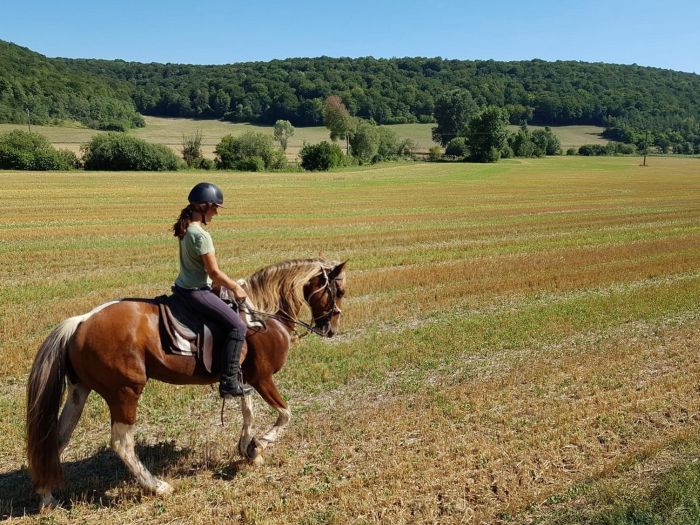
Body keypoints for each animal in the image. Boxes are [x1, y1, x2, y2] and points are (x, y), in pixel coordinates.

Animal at [26, 256, 348, 508]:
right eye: (340, 291)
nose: (331, 328)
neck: (263, 317)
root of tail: (81, 321)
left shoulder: (242, 378)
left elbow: (248, 412)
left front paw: (247, 448)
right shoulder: (262, 378)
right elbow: (284, 414)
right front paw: (258, 446)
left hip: (80, 391)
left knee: (55, 439)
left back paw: (46, 495)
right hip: (125, 392)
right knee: (121, 443)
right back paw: (157, 486)